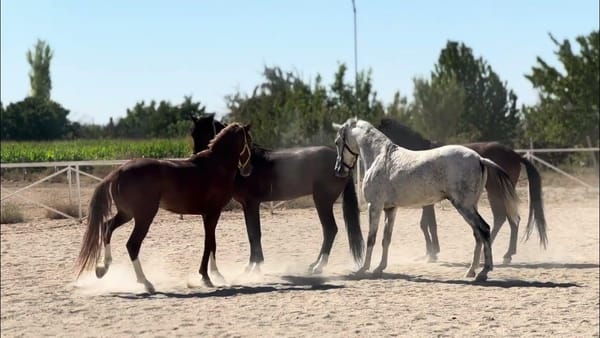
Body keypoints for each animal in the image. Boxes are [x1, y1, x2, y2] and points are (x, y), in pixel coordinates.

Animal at [75, 123, 253, 292]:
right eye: (249, 140)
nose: (248, 169)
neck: (216, 166)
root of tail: (119, 171)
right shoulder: (213, 213)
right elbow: (209, 243)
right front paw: (206, 277)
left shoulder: (208, 215)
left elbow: (212, 243)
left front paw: (216, 275)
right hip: (144, 217)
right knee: (132, 245)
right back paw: (146, 283)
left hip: (126, 214)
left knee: (107, 227)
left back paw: (102, 268)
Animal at [190, 113, 364, 274]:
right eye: (193, 134)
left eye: (208, 133)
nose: (197, 162)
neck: (249, 162)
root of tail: (341, 164)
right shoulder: (246, 205)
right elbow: (251, 233)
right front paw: (250, 265)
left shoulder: (252, 203)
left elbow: (255, 233)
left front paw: (256, 266)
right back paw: (314, 264)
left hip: (323, 201)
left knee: (330, 229)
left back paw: (319, 266)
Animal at [332, 117, 520, 282]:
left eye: (337, 142)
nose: (338, 170)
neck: (380, 156)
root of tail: (480, 158)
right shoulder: (390, 209)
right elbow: (386, 239)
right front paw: (379, 268)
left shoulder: (375, 206)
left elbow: (371, 238)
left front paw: (363, 269)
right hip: (471, 206)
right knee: (478, 233)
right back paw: (471, 271)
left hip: (464, 206)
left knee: (485, 229)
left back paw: (484, 272)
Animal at [380, 119, 548, 264]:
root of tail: (514, 154)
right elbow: (426, 223)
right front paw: (430, 253)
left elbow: (427, 224)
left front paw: (432, 253)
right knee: (511, 219)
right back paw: (506, 254)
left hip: (497, 193)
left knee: (502, 218)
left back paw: (496, 255)